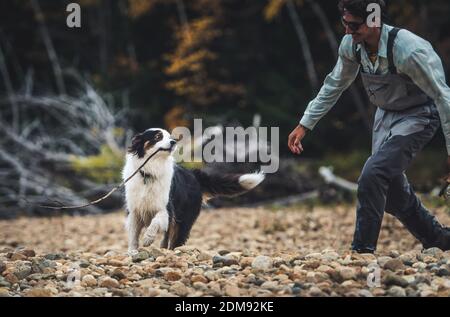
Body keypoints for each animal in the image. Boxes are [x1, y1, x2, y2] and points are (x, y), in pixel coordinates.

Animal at [121, 128, 266, 252]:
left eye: (169, 136)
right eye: (158, 136)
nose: (173, 141)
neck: (149, 172)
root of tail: (194, 174)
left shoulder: (166, 209)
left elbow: (155, 221)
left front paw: (148, 238)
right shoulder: (134, 210)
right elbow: (133, 235)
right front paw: (132, 252)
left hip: (183, 221)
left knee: (175, 240)